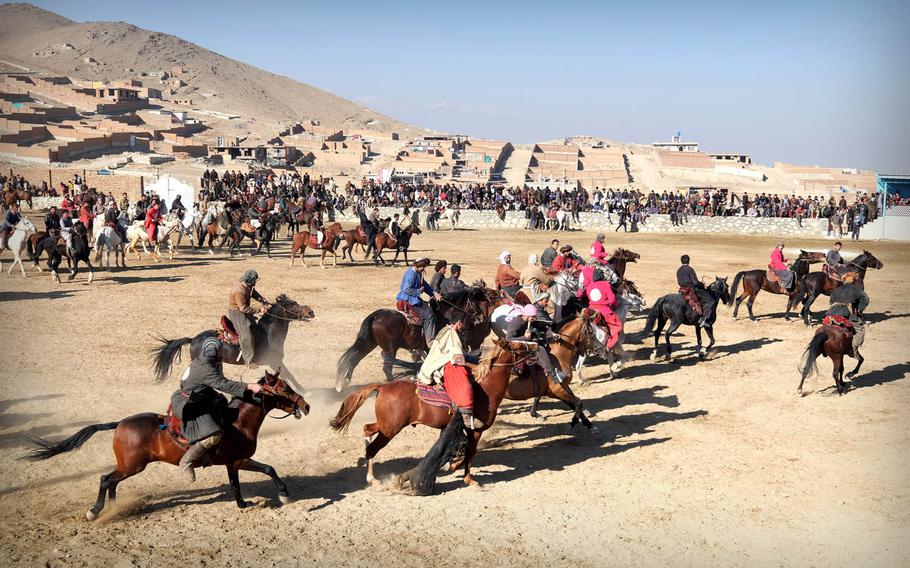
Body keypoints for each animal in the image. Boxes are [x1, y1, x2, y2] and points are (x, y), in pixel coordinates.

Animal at [151, 296, 316, 388]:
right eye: (291, 304)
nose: (311, 312)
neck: (269, 335)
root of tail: (193, 339)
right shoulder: (273, 361)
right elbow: (289, 376)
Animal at [330, 340, 536, 486]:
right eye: (518, 346)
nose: (535, 346)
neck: (484, 389)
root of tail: (383, 386)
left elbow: (463, 449)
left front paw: (452, 465)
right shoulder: (476, 430)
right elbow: (471, 453)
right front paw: (468, 478)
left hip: (385, 425)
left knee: (367, 429)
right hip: (390, 429)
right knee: (372, 448)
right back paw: (372, 478)